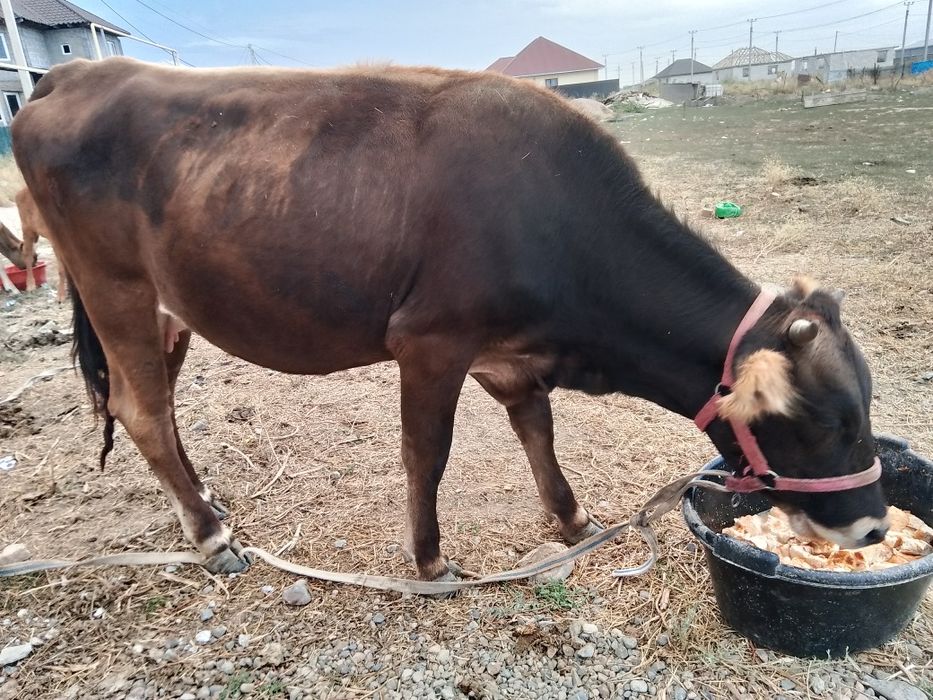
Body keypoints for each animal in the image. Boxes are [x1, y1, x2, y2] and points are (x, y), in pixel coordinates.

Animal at [12, 58, 888, 582]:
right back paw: (210, 536)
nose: (875, 528)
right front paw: (429, 561)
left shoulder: (509, 354)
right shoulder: (429, 341)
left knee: (151, 407)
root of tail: (78, 70)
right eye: (828, 421)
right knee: (142, 409)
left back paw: (207, 504)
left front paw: (572, 518)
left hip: (169, 310)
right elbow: (425, 455)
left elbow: (537, 431)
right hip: (115, 286)